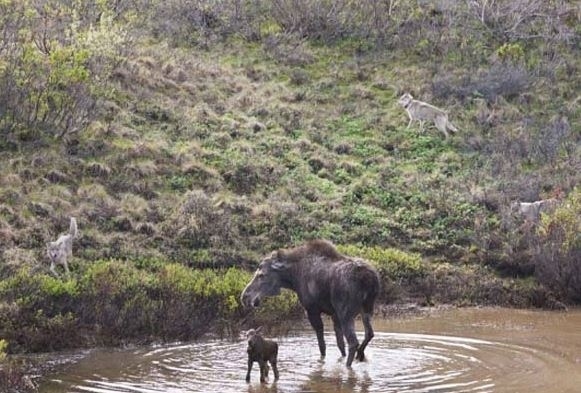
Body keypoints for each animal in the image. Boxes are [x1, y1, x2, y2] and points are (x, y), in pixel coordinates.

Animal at [238, 239, 378, 368]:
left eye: (261, 275)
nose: (245, 297)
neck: (293, 278)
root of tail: (369, 280)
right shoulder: (334, 314)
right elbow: (340, 344)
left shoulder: (312, 310)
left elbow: (322, 346)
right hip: (367, 309)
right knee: (369, 334)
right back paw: (360, 356)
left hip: (346, 313)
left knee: (353, 342)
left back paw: (349, 366)